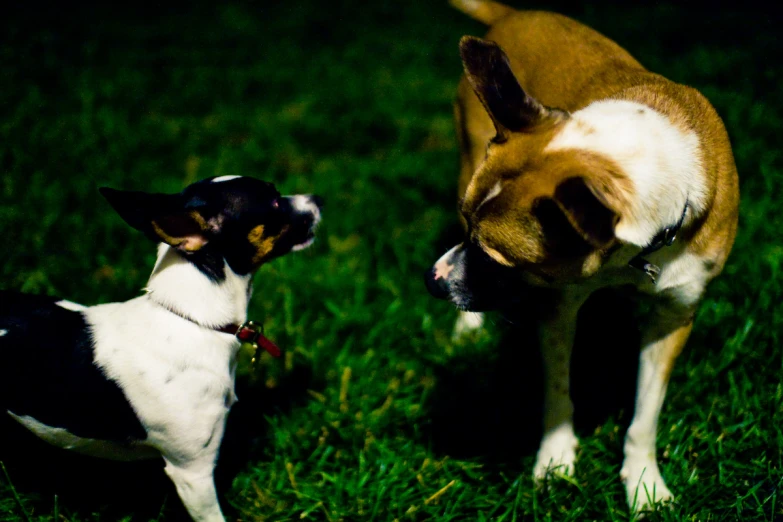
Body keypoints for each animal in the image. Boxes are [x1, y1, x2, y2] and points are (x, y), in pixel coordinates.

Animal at [428, 0, 740, 510]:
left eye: (496, 260)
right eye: (469, 224)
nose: (431, 279)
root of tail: (514, 14)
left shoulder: (673, 316)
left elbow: (645, 414)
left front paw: (644, 482)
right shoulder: (558, 304)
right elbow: (558, 388)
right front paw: (555, 459)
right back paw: (467, 330)